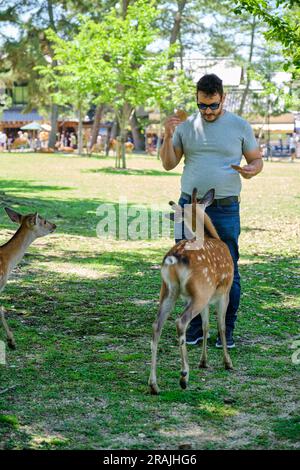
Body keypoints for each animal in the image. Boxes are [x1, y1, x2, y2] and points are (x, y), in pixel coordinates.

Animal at [149, 189, 236, 394]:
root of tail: (173, 260)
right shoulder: (224, 292)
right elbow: (220, 326)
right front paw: (227, 363)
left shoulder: (207, 298)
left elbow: (205, 326)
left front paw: (203, 362)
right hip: (200, 290)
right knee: (180, 322)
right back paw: (184, 376)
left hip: (168, 291)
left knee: (156, 325)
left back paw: (154, 384)